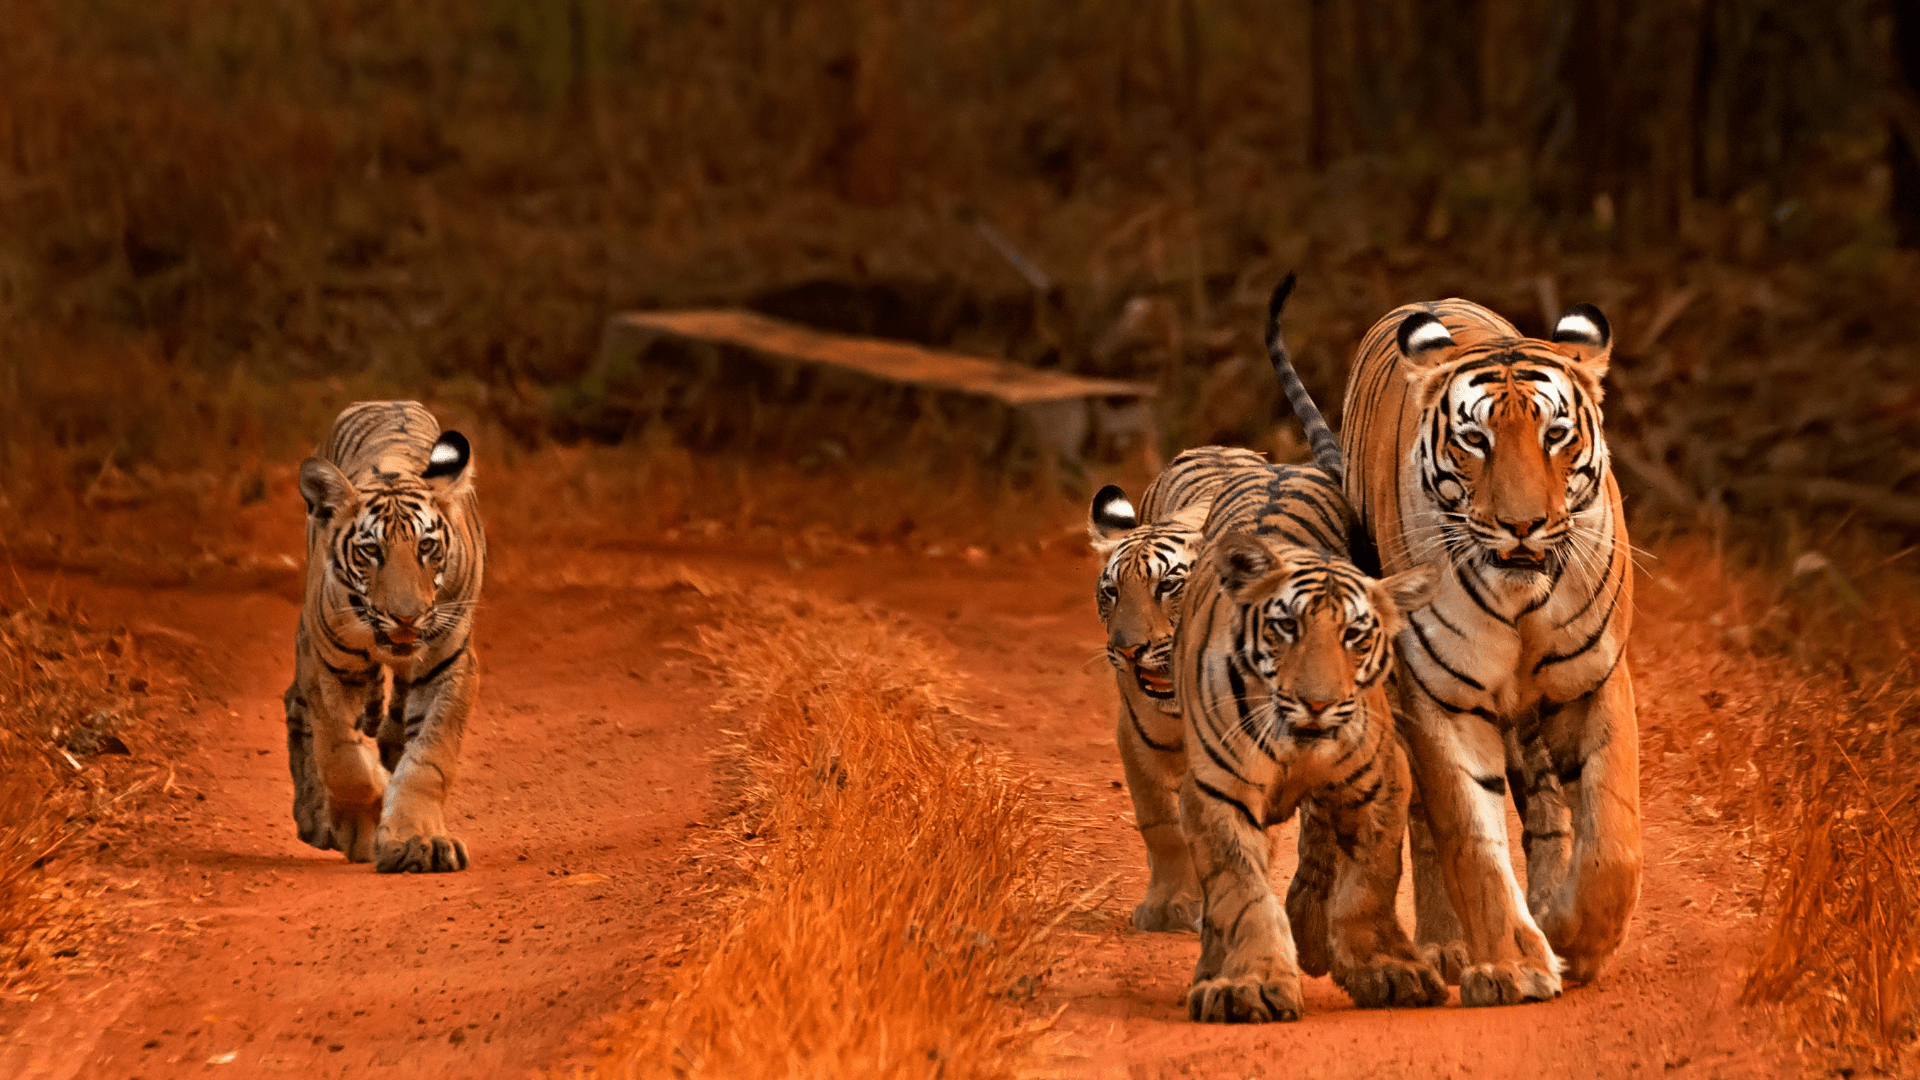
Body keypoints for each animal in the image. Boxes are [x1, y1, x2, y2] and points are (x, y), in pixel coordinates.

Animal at [289, 399, 491, 868]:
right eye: (371, 551)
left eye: (426, 547)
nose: (407, 617)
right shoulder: (329, 663)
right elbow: (340, 756)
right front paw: (362, 821)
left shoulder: (449, 664)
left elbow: (430, 756)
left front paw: (418, 840)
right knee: (298, 708)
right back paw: (315, 820)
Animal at [1336, 294, 1651, 999]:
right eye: (1475, 440)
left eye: (1554, 435)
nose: (1522, 525)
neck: (1520, 600)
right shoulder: (1443, 697)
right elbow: (1470, 837)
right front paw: (1511, 966)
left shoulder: (1594, 681)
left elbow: (1612, 840)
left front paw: (1573, 938)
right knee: (1425, 823)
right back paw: (1449, 946)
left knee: (1549, 808)